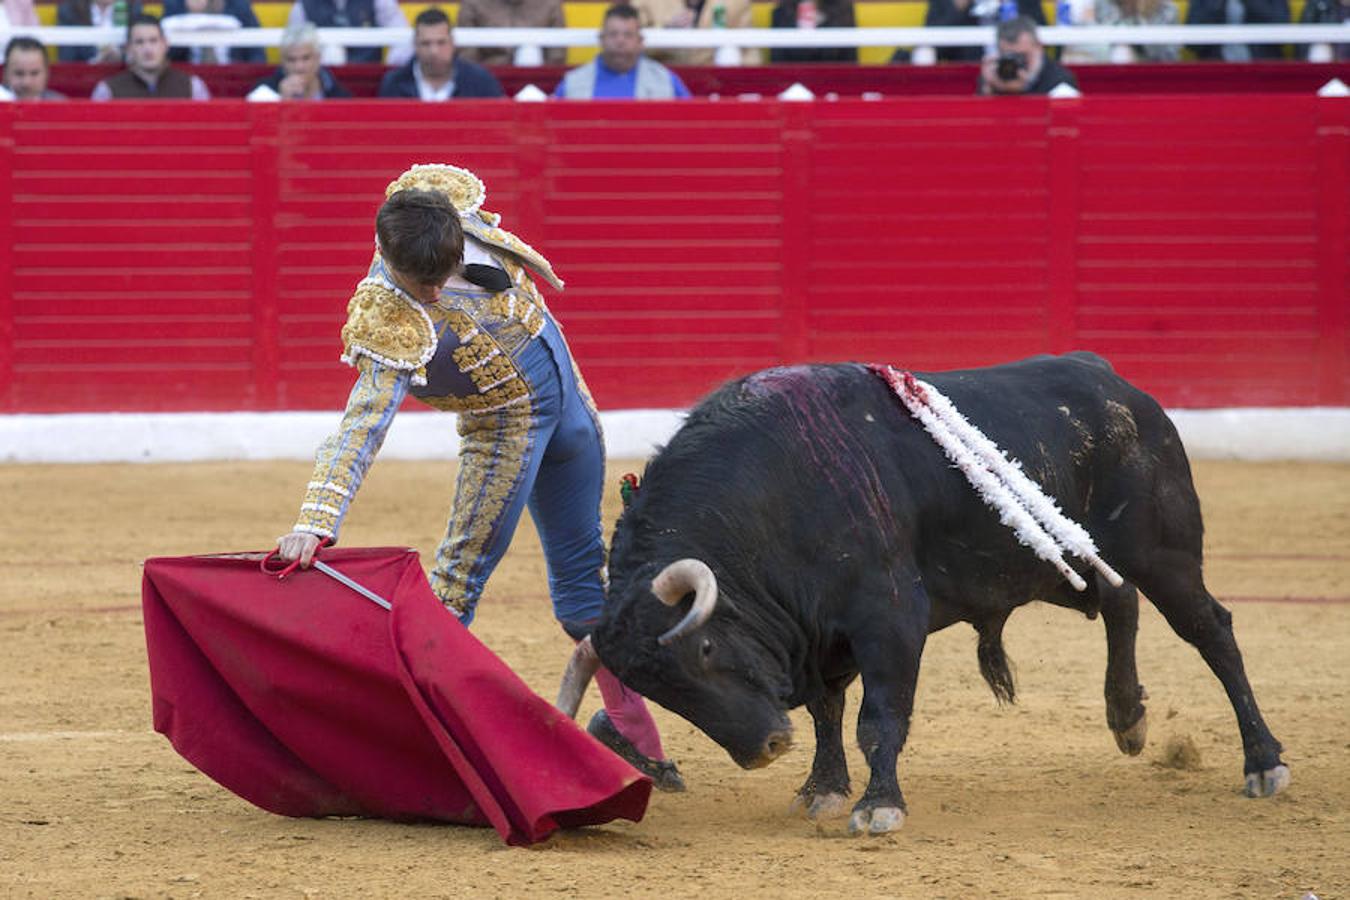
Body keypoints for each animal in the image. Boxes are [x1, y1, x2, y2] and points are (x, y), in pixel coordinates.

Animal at [556, 350, 1285, 836]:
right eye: (658, 691)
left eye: (703, 650)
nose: (764, 748)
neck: (775, 493)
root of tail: (1118, 385)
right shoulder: (819, 637)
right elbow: (826, 712)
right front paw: (822, 789)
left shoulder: (889, 620)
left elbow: (878, 718)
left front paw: (878, 806)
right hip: (1056, 561)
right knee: (1118, 600)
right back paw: (1127, 718)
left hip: (1165, 554)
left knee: (1212, 632)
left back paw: (1263, 763)